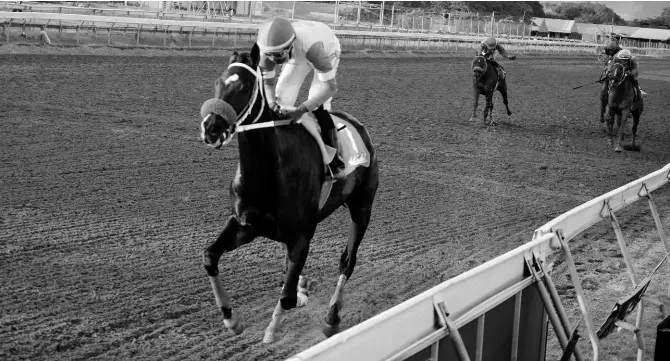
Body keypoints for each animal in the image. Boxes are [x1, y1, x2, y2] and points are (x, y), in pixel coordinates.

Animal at [198, 43, 378, 342]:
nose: (211, 128)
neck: (270, 174)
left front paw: (273, 329)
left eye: (245, 87)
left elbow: (286, 296)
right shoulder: (244, 224)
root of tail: (358, 125)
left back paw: (331, 318)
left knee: (347, 262)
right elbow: (210, 256)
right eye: (217, 83)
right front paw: (231, 319)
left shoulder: (302, 235)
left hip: (362, 207)